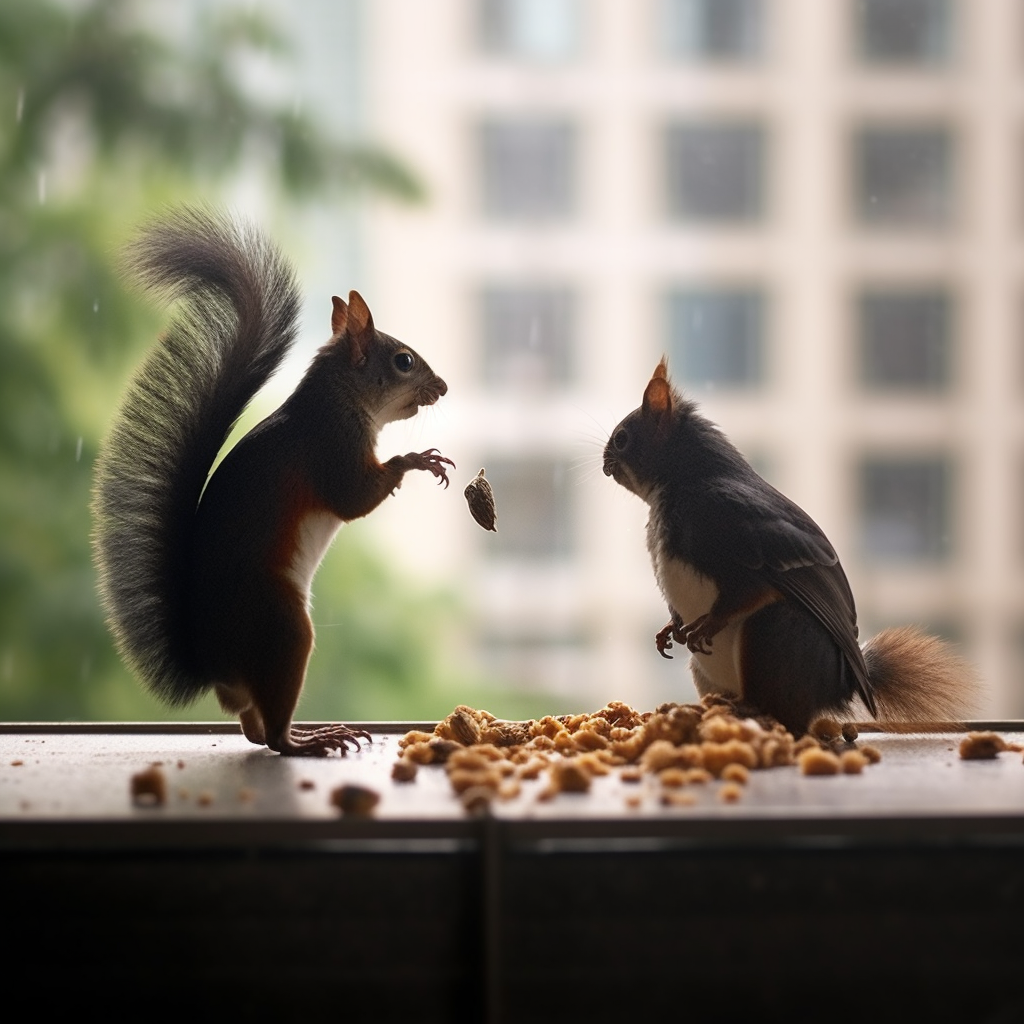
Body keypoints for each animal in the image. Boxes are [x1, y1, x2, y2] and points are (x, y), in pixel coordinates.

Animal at [91, 206, 454, 756]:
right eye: (404, 361)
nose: (445, 387)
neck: (339, 399)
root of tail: (214, 665)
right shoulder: (331, 447)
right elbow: (353, 499)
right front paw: (416, 459)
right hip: (284, 628)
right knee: (273, 736)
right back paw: (312, 739)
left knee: (253, 729)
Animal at [602, 358, 981, 736]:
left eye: (622, 438)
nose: (605, 466)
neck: (684, 481)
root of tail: (840, 684)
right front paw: (668, 630)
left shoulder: (741, 548)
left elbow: (740, 598)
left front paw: (706, 625)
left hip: (774, 632)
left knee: (787, 715)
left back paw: (749, 713)